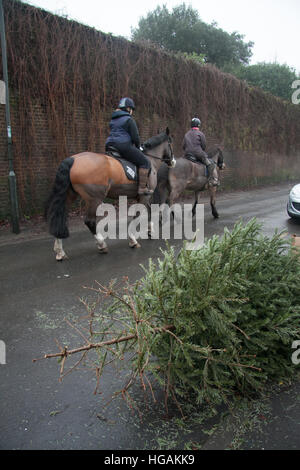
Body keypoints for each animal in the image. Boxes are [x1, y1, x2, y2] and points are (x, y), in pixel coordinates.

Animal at [45, 129, 175, 260]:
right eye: (170, 142)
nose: (173, 162)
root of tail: (72, 159)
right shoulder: (144, 196)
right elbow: (138, 215)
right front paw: (133, 240)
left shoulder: (143, 197)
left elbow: (149, 211)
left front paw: (150, 231)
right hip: (95, 199)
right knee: (89, 221)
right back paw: (101, 244)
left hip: (70, 196)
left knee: (60, 218)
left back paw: (60, 251)